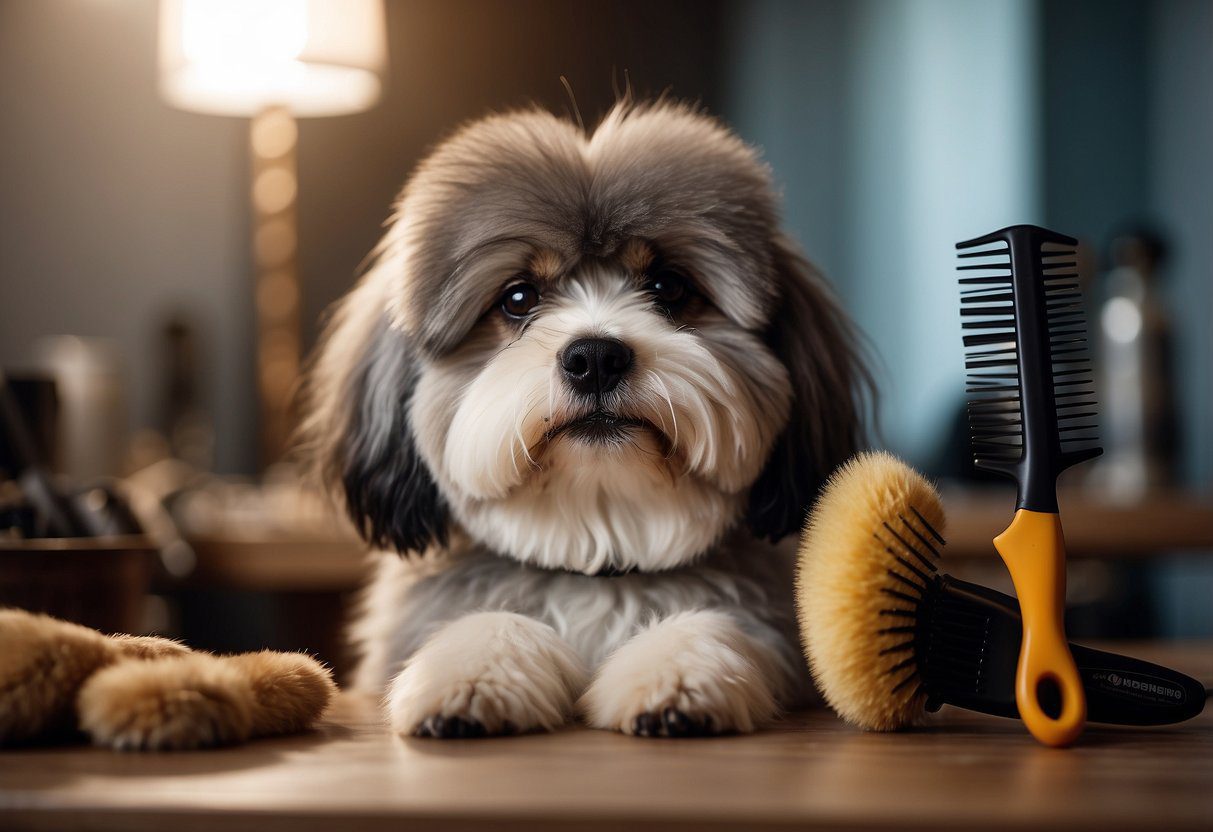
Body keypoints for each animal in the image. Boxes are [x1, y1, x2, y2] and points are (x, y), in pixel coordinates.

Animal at [303, 101, 873, 742]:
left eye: (669, 285)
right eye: (518, 298)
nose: (595, 357)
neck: (598, 547)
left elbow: (711, 625)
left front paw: (679, 673)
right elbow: (490, 621)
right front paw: (469, 673)